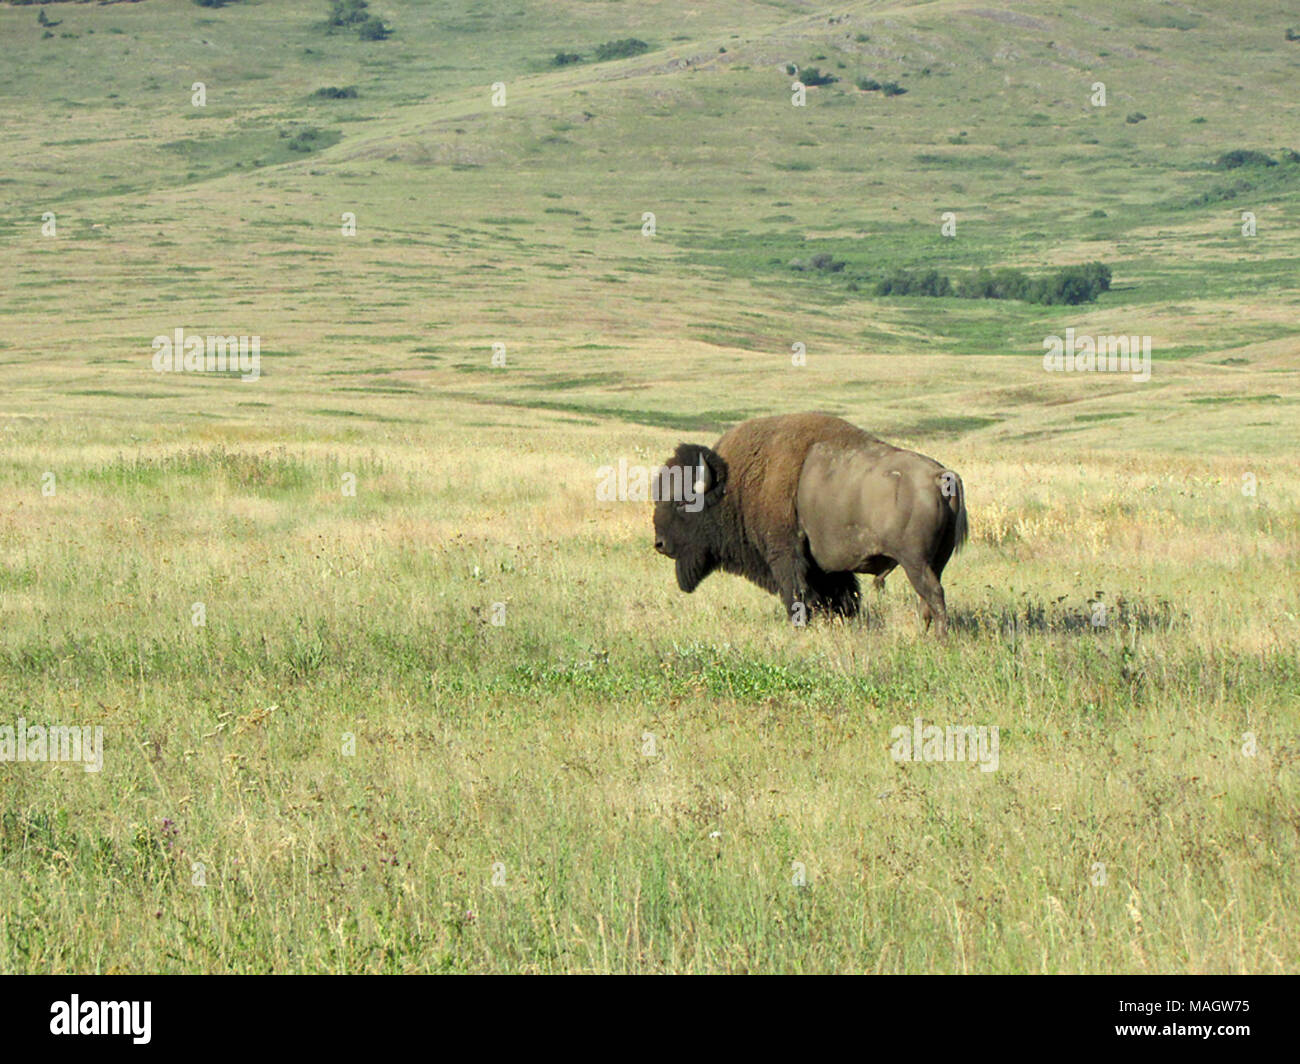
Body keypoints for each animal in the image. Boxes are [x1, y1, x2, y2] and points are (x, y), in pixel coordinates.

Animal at [650, 413, 967, 629]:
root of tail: (940, 476)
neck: (735, 484)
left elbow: (798, 594)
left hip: (915, 561)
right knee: (929, 598)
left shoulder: (785, 556)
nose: (660, 544)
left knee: (933, 594)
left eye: (681, 502)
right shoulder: (828, 569)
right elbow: (843, 597)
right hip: (936, 560)